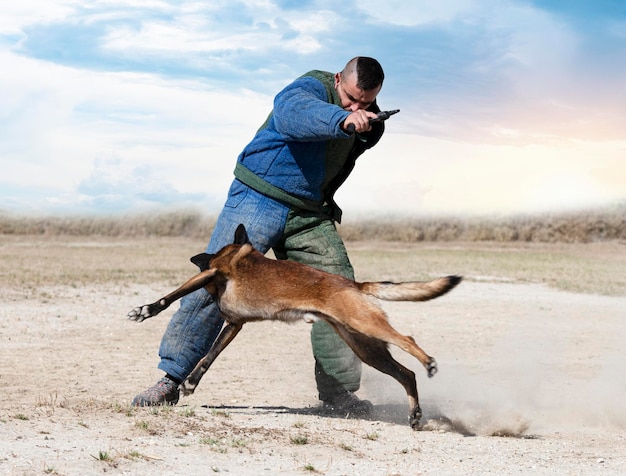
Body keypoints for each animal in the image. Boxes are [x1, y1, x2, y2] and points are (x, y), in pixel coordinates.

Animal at [127, 225, 458, 430]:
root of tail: (353, 284)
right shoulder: (234, 324)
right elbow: (209, 357)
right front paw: (191, 383)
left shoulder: (213, 272)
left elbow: (172, 296)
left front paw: (145, 310)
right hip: (366, 348)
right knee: (407, 374)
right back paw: (414, 414)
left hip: (366, 325)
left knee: (408, 340)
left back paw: (428, 362)